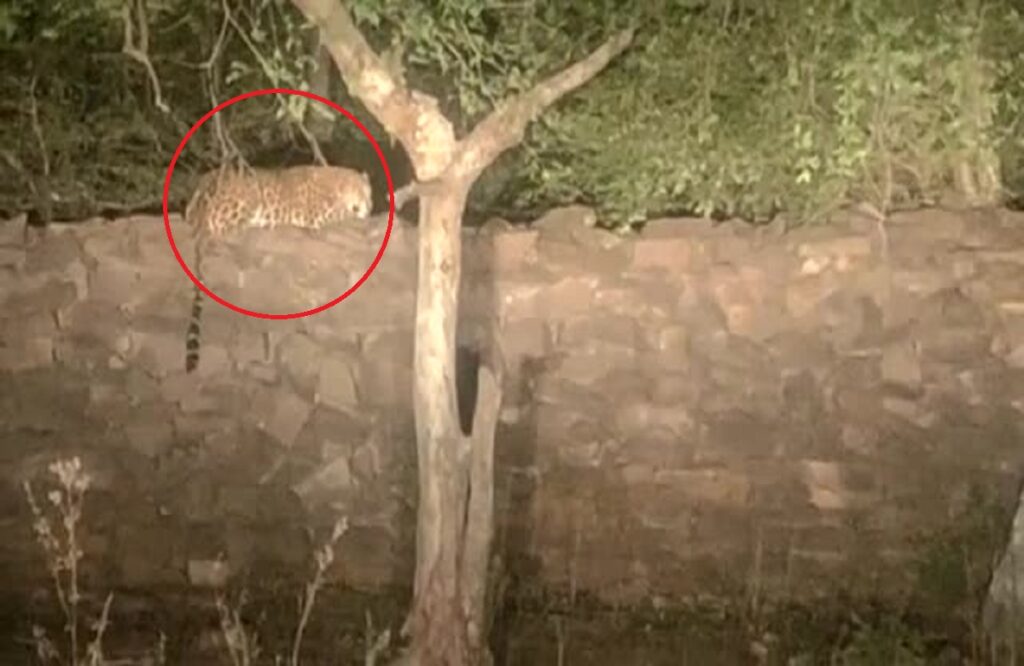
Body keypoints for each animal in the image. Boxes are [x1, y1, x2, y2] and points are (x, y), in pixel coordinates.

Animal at [183, 164, 372, 372]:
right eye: (360, 192)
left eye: (369, 193)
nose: (369, 206)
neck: (335, 182)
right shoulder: (320, 216)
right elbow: (343, 214)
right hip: (245, 201)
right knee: (228, 230)